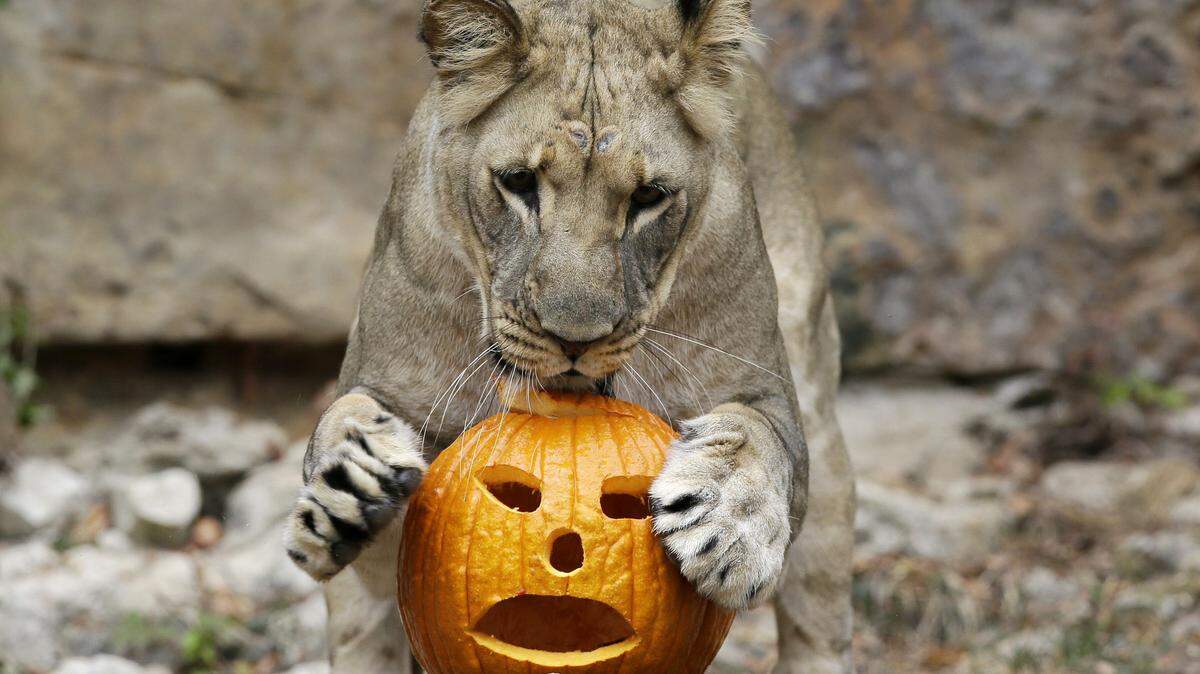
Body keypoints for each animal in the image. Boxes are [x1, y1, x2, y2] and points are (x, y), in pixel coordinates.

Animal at [283, 0, 855, 671]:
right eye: (518, 183)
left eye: (648, 197)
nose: (575, 339)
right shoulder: (391, 403)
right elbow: (345, 417)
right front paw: (350, 488)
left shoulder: (763, 389)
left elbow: (759, 434)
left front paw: (730, 528)